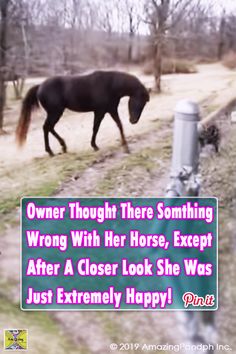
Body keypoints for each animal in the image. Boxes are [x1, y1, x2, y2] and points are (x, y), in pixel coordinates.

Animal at [15, 70, 149, 156]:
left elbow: (119, 125)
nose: (133, 121)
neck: (110, 85)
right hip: (55, 112)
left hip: (56, 113)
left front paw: (125, 147)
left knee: (49, 128)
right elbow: (96, 128)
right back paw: (51, 151)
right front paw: (95, 146)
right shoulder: (100, 112)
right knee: (46, 127)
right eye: (139, 102)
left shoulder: (110, 110)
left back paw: (62, 147)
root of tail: (40, 86)